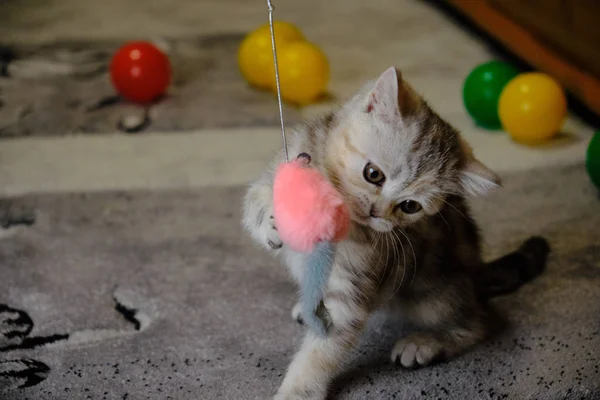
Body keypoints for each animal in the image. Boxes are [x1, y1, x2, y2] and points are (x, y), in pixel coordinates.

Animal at [241, 67, 552, 398]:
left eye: (410, 206)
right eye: (373, 174)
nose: (377, 213)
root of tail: (475, 273)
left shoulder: (351, 290)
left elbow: (322, 350)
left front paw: (298, 390)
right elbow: (256, 198)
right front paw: (273, 219)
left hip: (435, 293)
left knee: (479, 322)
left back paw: (427, 343)